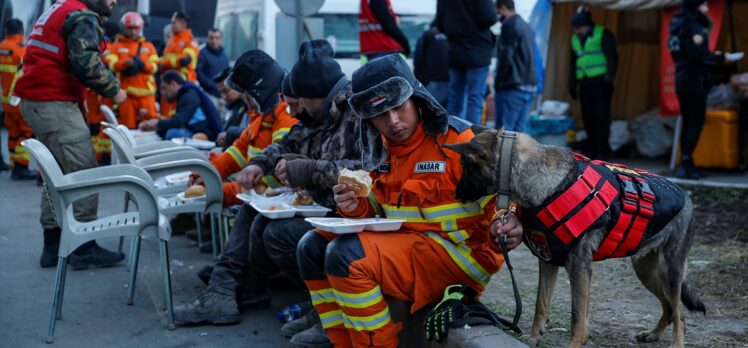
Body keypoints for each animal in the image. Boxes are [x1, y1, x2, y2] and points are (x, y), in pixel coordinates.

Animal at [444, 127, 708, 348]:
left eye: (465, 166)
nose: (456, 195)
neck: (546, 184)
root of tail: (686, 197)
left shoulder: (579, 267)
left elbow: (577, 317)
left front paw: (573, 343)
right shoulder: (548, 261)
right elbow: (541, 304)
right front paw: (533, 338)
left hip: (670, 271)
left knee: (679, 313)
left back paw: (675, 343)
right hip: (645, 270)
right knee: (668, 307)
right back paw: (652, 334)